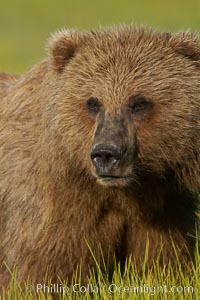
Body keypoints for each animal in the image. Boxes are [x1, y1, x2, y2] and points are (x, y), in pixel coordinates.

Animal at [0, 25, 200, 288]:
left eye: (139, 103)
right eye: (93, 102)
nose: (105, 153)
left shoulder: (166, 209)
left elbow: (162, 265)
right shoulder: (51, 212)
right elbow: (41, 273)